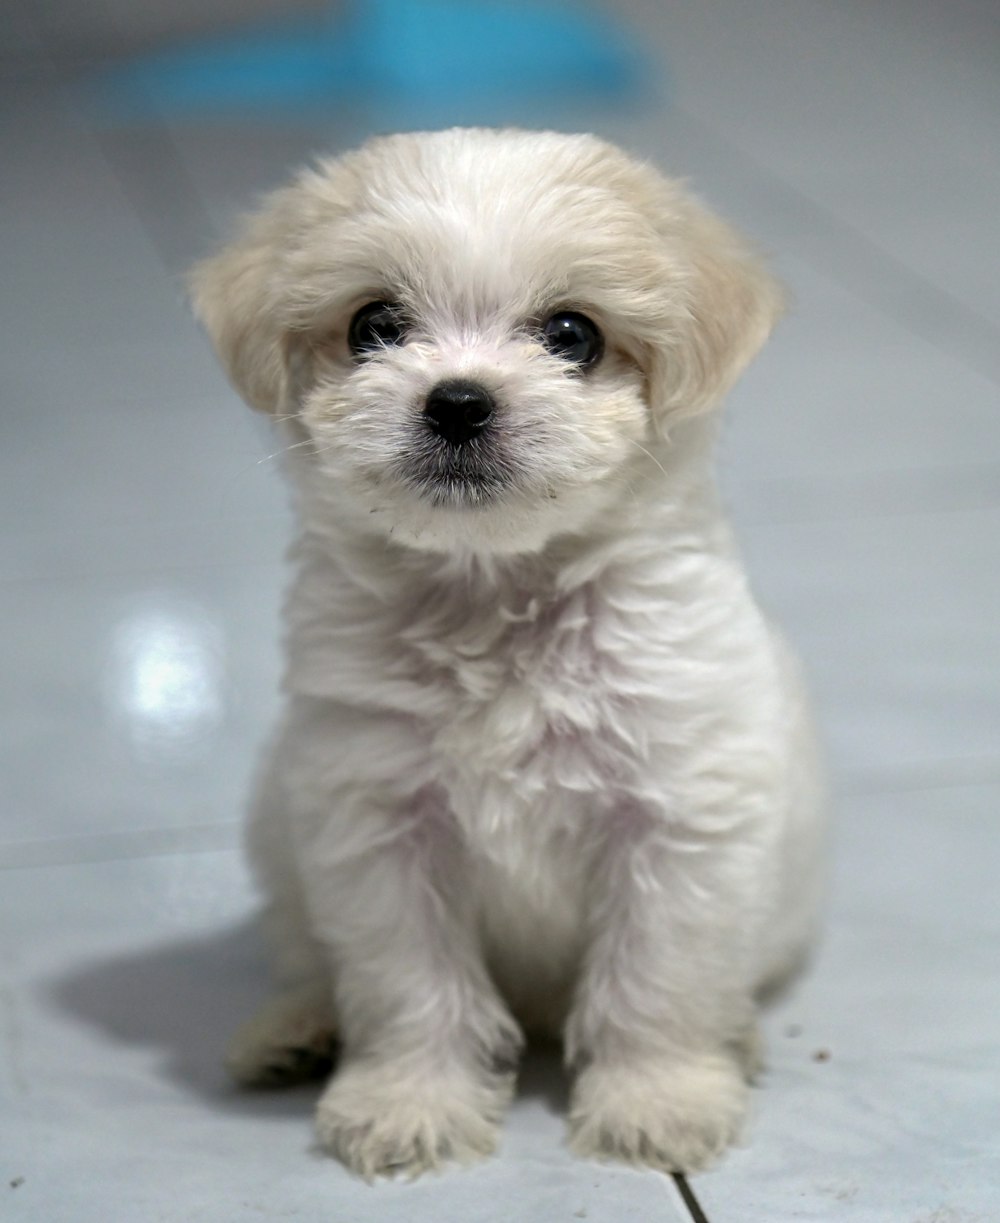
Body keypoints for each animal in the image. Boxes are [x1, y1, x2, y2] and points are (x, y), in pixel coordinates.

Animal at [190, 129, 821, 1178]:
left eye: (573, 335)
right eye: (374, 325)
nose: (457, 401)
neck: (496, 598)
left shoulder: (674, 821)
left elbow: (656, 976)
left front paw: (656, 1100)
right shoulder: (378, 824)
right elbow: (408, 982)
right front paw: (410, 1103)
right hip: (275, 837)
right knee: (307, 953)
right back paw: (292, 1030)